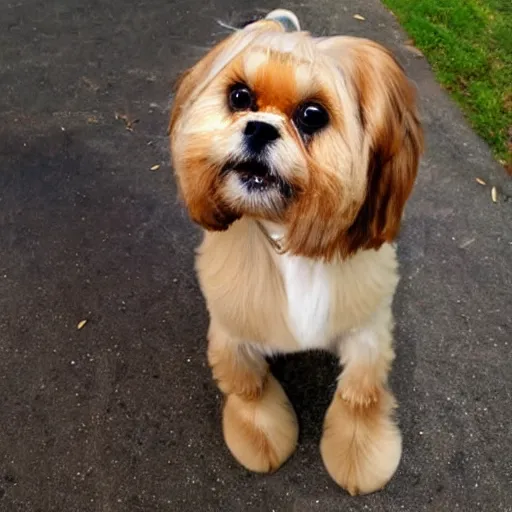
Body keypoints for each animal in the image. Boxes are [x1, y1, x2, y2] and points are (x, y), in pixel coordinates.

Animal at [170, 9, 422, 496]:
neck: (286, 242)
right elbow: (247, 386)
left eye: (312, 115)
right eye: (240, 97)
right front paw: (261, 437)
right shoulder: (232, 328)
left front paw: (361, 456)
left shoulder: (367, 327)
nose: (259, 127)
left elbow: (360, 394)